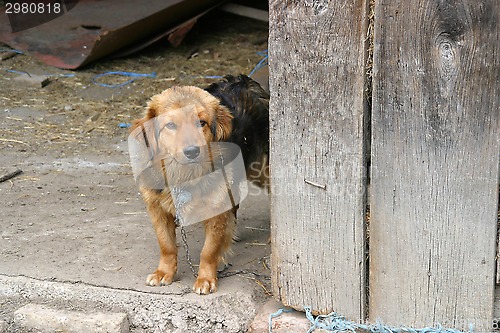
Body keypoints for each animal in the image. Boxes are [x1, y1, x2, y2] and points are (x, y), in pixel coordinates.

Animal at [131, 74, 268, 294]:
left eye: (201, 122)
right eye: (170, 125)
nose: (192, 151)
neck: (184, 175)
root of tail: (243, 80)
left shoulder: (216, 208)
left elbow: (208, 250)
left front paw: (206, 278)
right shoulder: (156, 208)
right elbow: (166, 245)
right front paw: (164, 272)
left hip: (261, 169)